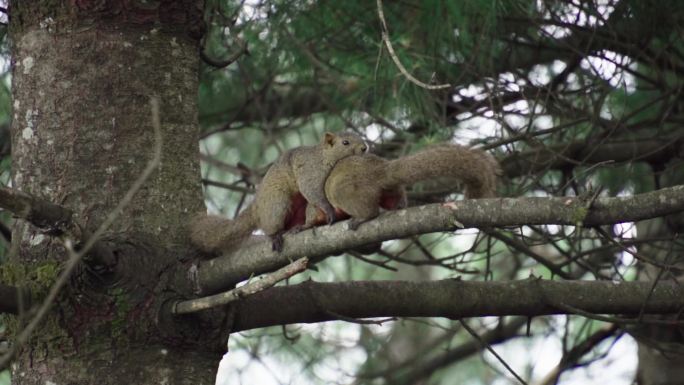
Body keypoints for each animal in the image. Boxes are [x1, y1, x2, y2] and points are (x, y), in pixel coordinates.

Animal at [190, 132, 368, 252]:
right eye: (345, 142)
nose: (364, 148)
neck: (324, 156)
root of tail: (256, 209)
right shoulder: (309, 172)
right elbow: (312, 192)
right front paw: (329, 210)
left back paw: (299, 228)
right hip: (277, 203)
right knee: (272, 226)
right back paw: (276, 235)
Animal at [302, 143, 500, 228]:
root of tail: (381, 171)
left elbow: (311, 216)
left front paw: (302, 227)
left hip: (345, 191)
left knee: (370, 210)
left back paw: (361, 217)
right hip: (388, 191)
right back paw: (398, 205)